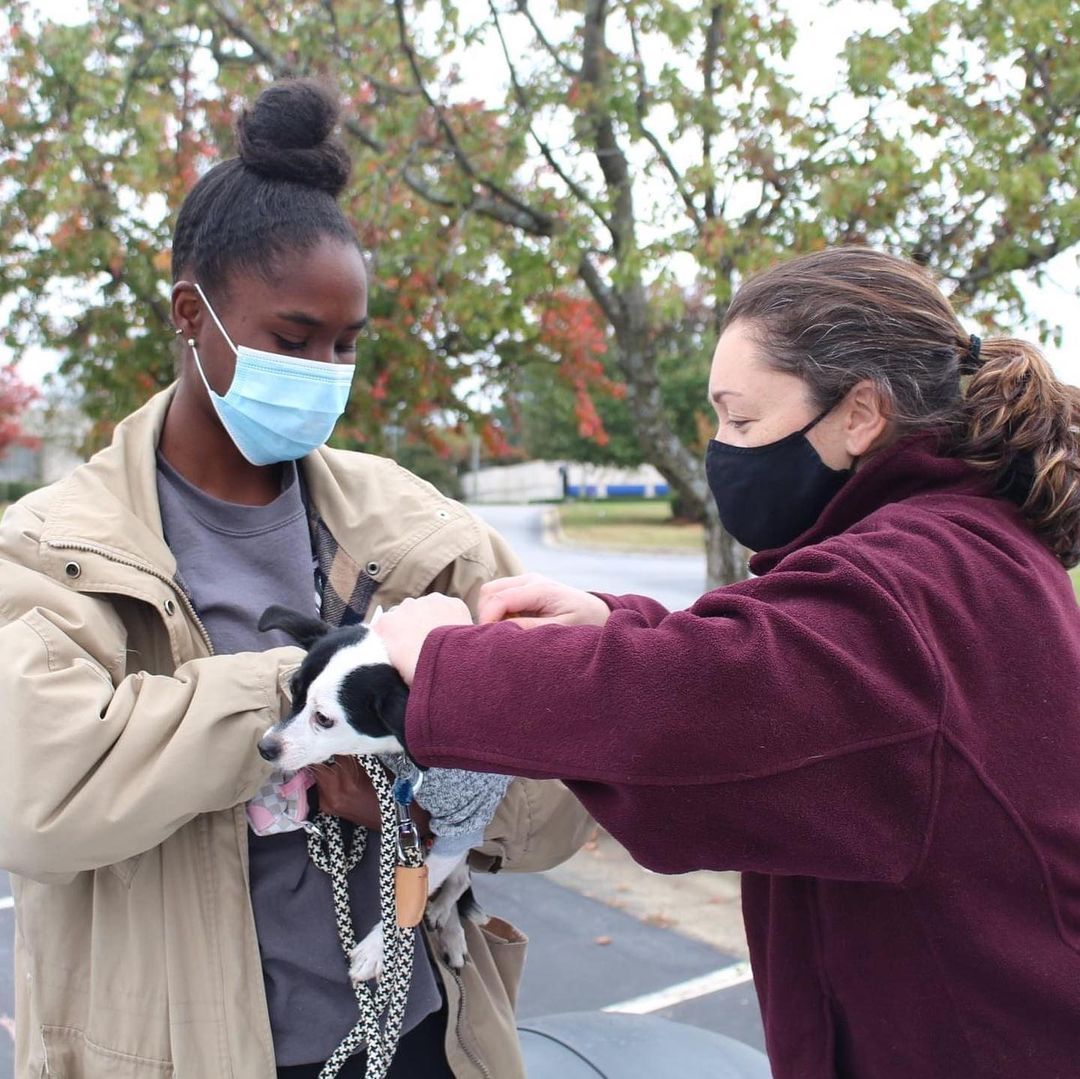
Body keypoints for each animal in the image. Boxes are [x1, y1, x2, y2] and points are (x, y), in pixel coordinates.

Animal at [255, 609, 505, 989]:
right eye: (293, 690)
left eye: (323, 719)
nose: (265, 748)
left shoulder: (465, 822)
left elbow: (416, 890)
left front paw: (376, 950)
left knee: (459, 880)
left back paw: (447, 923)